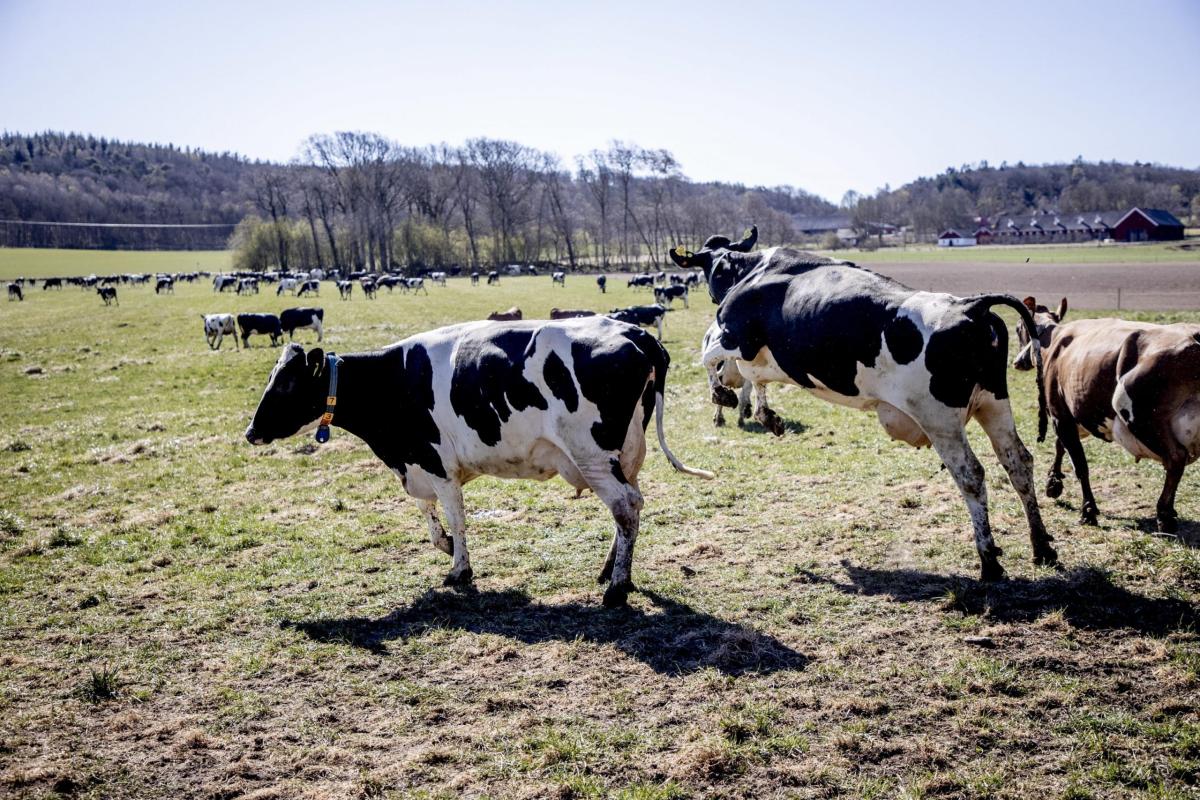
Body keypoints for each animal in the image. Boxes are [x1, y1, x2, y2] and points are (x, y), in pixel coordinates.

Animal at [243, 316, 710, 604]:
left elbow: (456, 517)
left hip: (593, 454)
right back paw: (610, 569)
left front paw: (459, 570)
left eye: (285, 385)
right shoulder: (417, 462)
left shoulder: (435, 462)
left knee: (626, 507)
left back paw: (617, 588)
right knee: (629, 507)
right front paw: (447, 547)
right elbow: (430, 518)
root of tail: (634, 332)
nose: (250, 432)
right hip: (625, 453)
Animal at [676, 225, 1060, 582]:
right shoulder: (758, 356)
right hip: (993, 403)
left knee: (971, 475)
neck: (751, 270)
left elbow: (709, 356)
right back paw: (1041, 546)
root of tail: (971, 305)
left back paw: (989, 560)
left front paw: (723, 396)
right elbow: (754, 379)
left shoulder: (735, 336)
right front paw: (766, 415)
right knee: (1018, 463)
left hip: (940, 419)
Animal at [1012, 297, 1200, 534]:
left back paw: (1164, 515)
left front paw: (1088, 511)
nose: (1017, 361)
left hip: (1140, 417)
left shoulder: (1060, 415)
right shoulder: (1072, 415)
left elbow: (1080, 465)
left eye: (1018, 328)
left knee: (1175, 458)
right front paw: (1053, 484)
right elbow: (1060, 446)